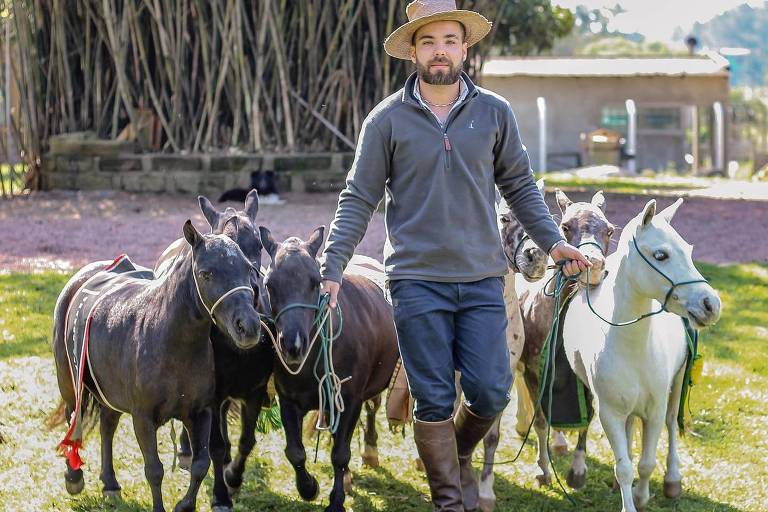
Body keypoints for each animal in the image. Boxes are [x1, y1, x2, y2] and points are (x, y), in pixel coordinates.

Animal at [564, 198, 720, 510]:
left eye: (689, 251)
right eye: (660, 255)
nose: (711, 304)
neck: (633, 348)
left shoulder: (655, 411)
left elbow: (647, 463)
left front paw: (642, 495)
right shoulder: (610, 414)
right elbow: (623, 466)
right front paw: (628, 498)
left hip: (678, 383)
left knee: (672, 424)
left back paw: (673, 479)